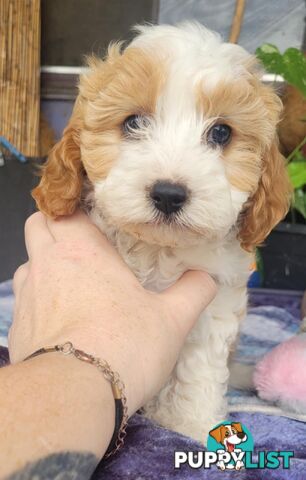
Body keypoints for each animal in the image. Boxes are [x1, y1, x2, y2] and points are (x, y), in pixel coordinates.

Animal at [32, 22, 290, 442]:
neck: (158, 250)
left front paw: (193, 423)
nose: (169, 194)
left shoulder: (215, 303)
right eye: (134, 123)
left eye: (221, 133)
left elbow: (197, 368)